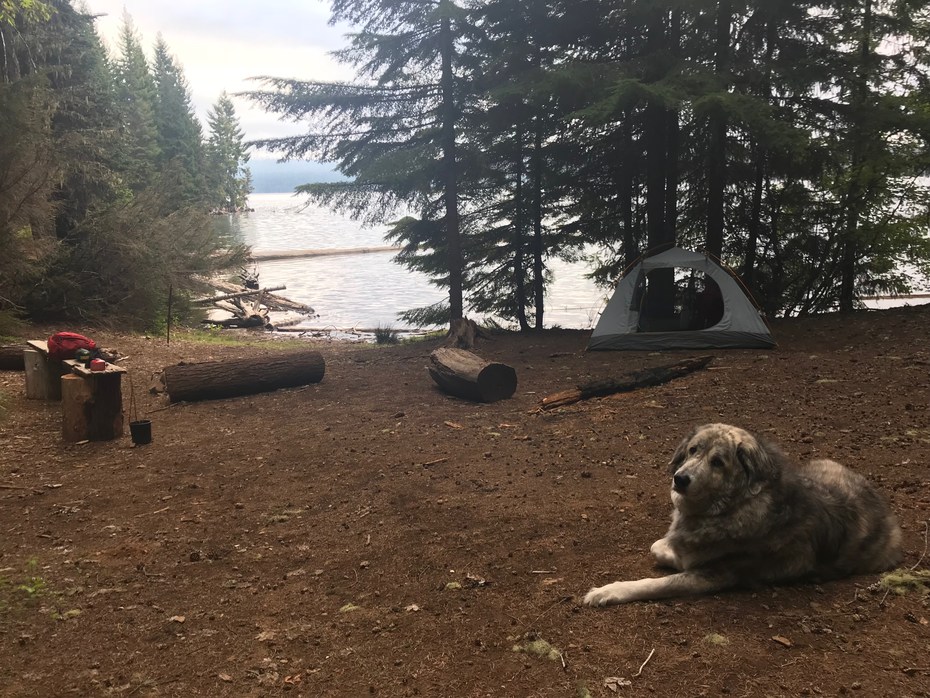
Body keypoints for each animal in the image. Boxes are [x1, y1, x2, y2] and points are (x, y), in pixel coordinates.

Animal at [588, 424, 900, 604]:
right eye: (692, 450)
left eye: (718, 462)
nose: (680, 479)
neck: (731, 507)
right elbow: (659, 547)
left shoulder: (716, 576)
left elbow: (655, 584)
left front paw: (608, 591)